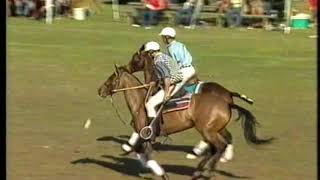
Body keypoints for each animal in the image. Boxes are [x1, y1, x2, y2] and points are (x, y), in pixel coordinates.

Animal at [97, 65, 272, 179]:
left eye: (111, 78)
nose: (100, 91)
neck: (140, 102)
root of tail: (227, 100)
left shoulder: (145, 133)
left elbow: (143, 151)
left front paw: (162, 174)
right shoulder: (143, 136)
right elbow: (139, 151)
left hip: (207, 130)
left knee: (218, 146)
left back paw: (206, 171)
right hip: (216, 129)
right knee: (220, 144)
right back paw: (200, 171)